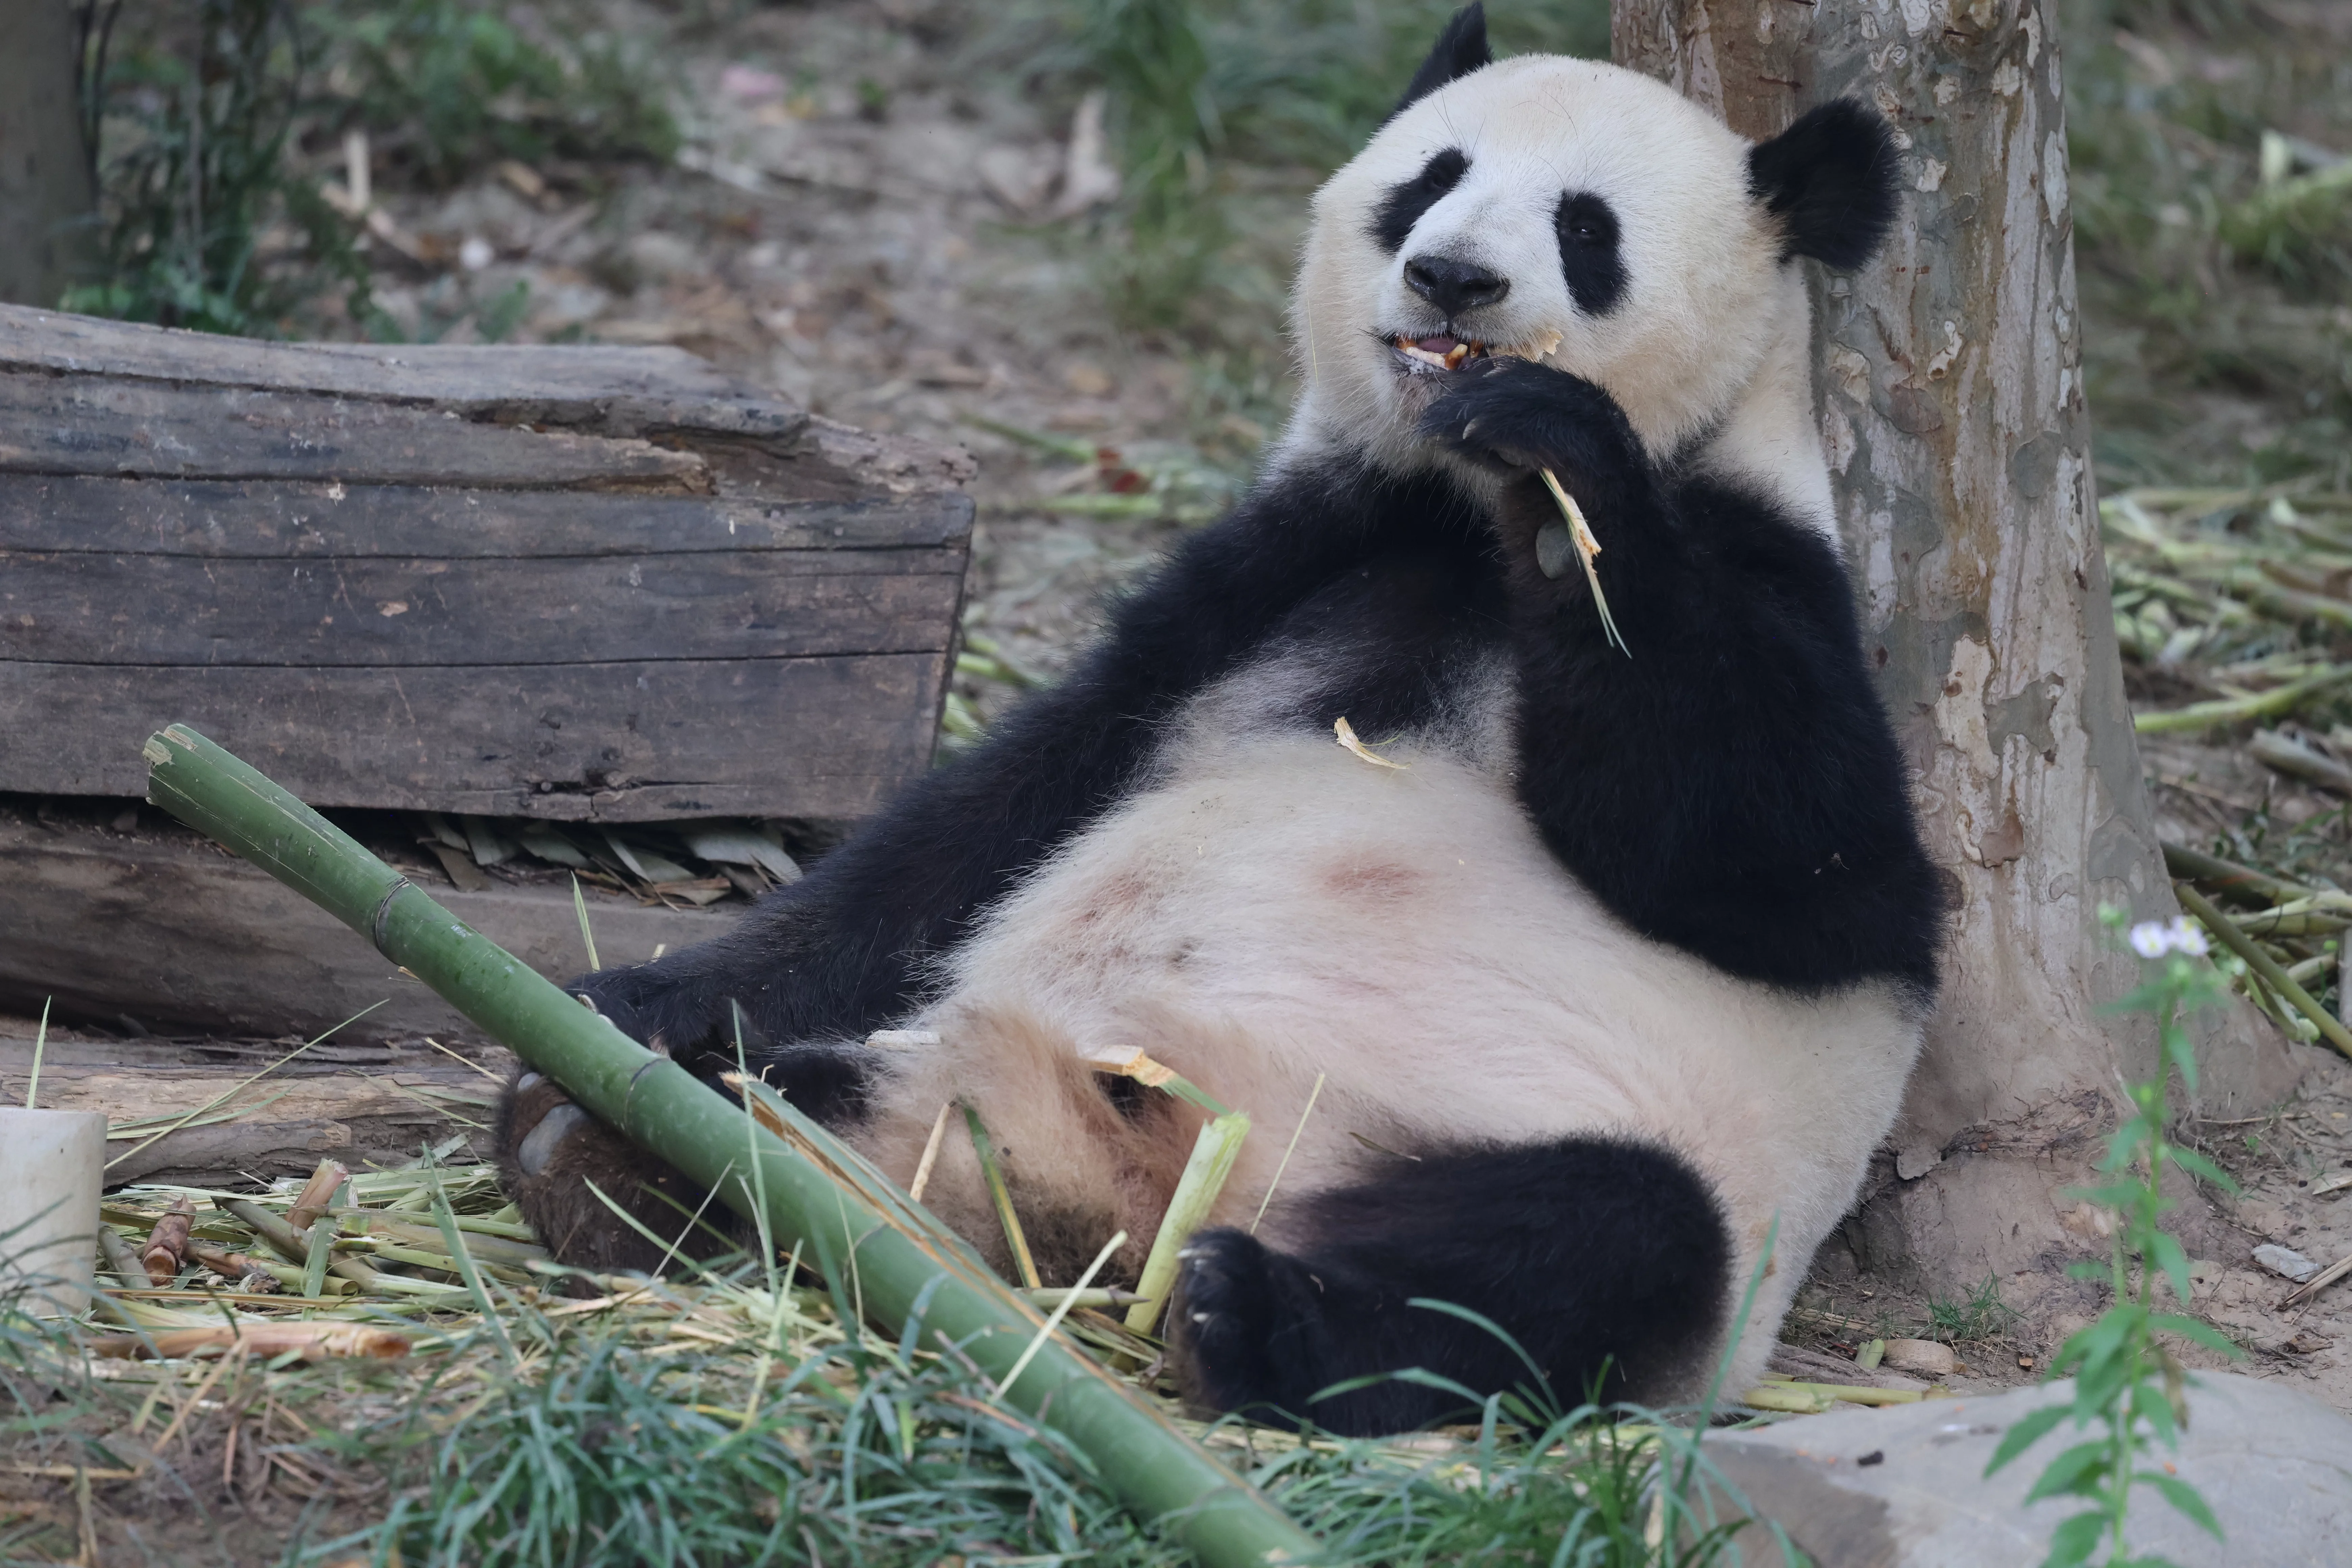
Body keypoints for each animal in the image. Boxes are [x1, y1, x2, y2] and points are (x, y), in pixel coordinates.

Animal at [496, 3, 1942, 1437]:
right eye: (1432, 179)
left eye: (1588, 230)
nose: (1450, 278)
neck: (1453, 505)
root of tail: (1126, 1194)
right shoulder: (1289, 560)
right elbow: (996, 813)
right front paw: (633, 1001)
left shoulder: (1771, 569)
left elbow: (1807, 878)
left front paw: (1559, 468)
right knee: (832, 1092)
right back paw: (622, 1143)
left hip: (1586, 1159)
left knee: (1587, 1242)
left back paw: (1250, 1313)